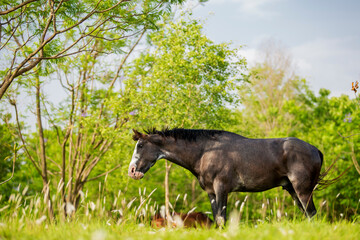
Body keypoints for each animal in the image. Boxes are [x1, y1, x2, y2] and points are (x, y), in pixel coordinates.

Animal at [127, 128, 324, 226]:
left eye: (140, 145)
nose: (132, 171)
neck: (206, 151)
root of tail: (315, 149)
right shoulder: (211, 192)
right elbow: (217, 219)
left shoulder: (221, 189)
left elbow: (222, 218)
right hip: (292, 189)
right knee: (307, 214)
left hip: (302, 190)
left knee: (312, 213)